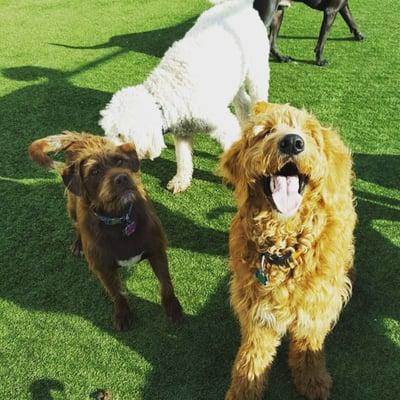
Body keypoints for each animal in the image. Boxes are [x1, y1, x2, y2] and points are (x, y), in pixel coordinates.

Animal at [28, 133, 183, 330]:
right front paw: (122, 313)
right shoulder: (103, 268)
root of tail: (83, 139)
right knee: (76, 224)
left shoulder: (157, 250)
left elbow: (166, 282)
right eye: (94, 172)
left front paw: (172, 307)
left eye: (120, 161)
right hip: (72, 206)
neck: (120, 219)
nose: (122, 178)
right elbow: (117, 292)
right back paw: (78, 244)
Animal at [98, 0, 270, 194]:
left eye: (120, 134)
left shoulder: (223, 126)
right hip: (233, 80)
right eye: (107, 131)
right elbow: (183, 159)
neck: (169, 92)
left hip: (256, 73)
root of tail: (238, 4)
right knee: (243, 103)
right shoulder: (182, 132)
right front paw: (180, 181)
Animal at [222, 101, 356, 398]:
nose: (293, 142)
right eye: (265, 132)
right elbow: (253, 356)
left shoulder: (316, 307)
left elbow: (308, 346)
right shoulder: (258, 311)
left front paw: (313, 380)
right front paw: (244, 389)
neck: (286, 251)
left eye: (310, 134)